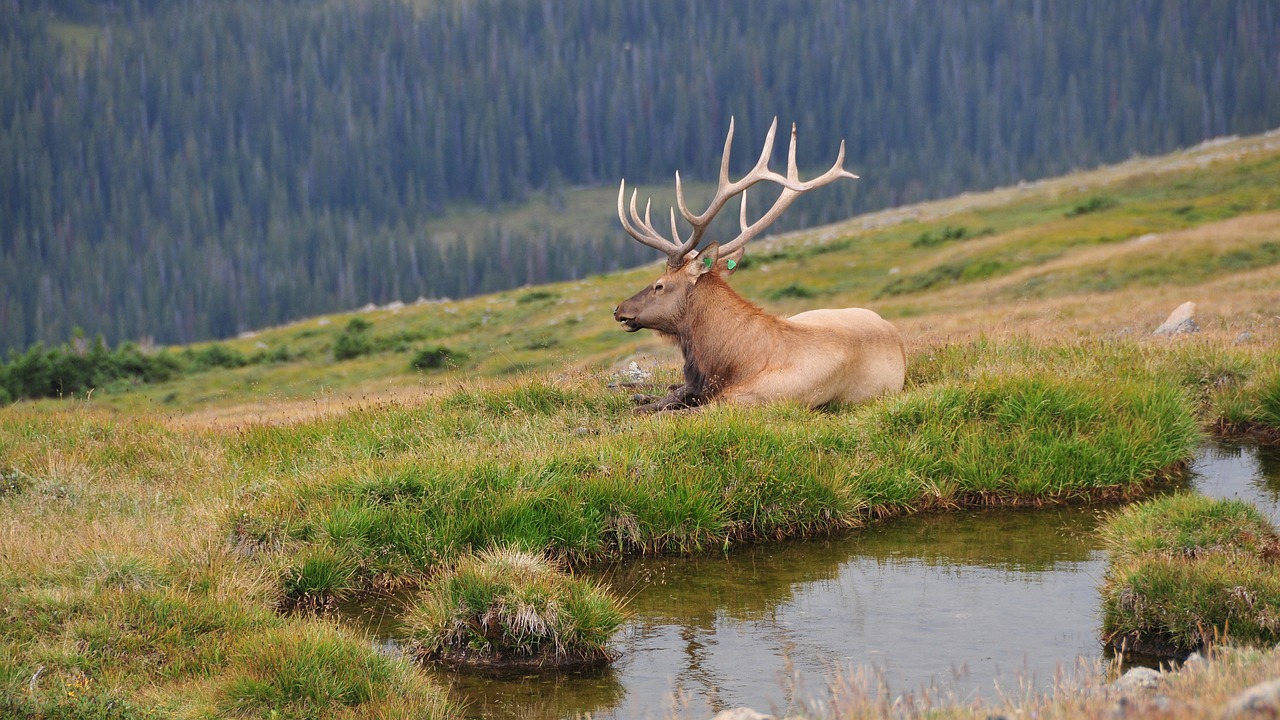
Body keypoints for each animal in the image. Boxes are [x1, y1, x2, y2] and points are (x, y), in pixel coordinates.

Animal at [611, 117, 906, 409]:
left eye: (659, 285)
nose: (619, 308)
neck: (730, 363)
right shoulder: (696, 387)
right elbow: (659, 400)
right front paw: (634, 391)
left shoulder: (742, 402)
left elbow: (654, 412)